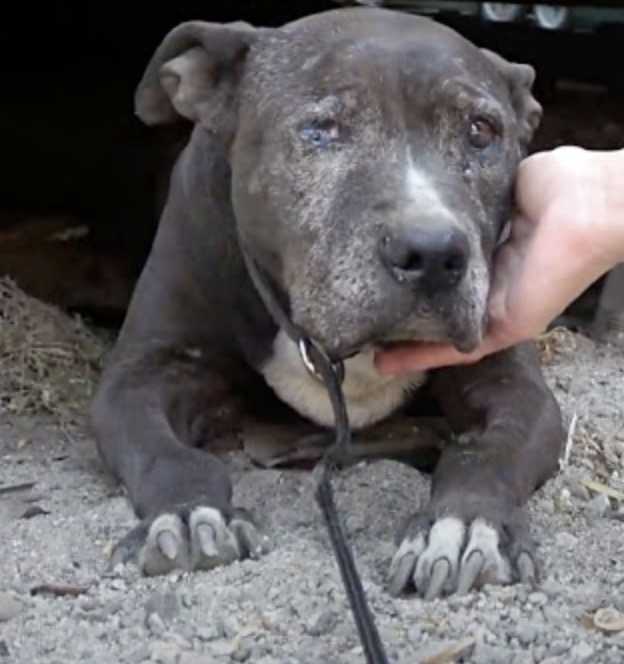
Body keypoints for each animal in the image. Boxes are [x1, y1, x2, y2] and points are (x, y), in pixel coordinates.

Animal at [92, 6, 564, 596]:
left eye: (481, 131)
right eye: (321, 130)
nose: (432, 251)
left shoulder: (509, 384)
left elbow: (488, 452)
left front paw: (464, 525)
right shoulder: (144, 373)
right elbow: (164, 452)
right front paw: (186, 512)